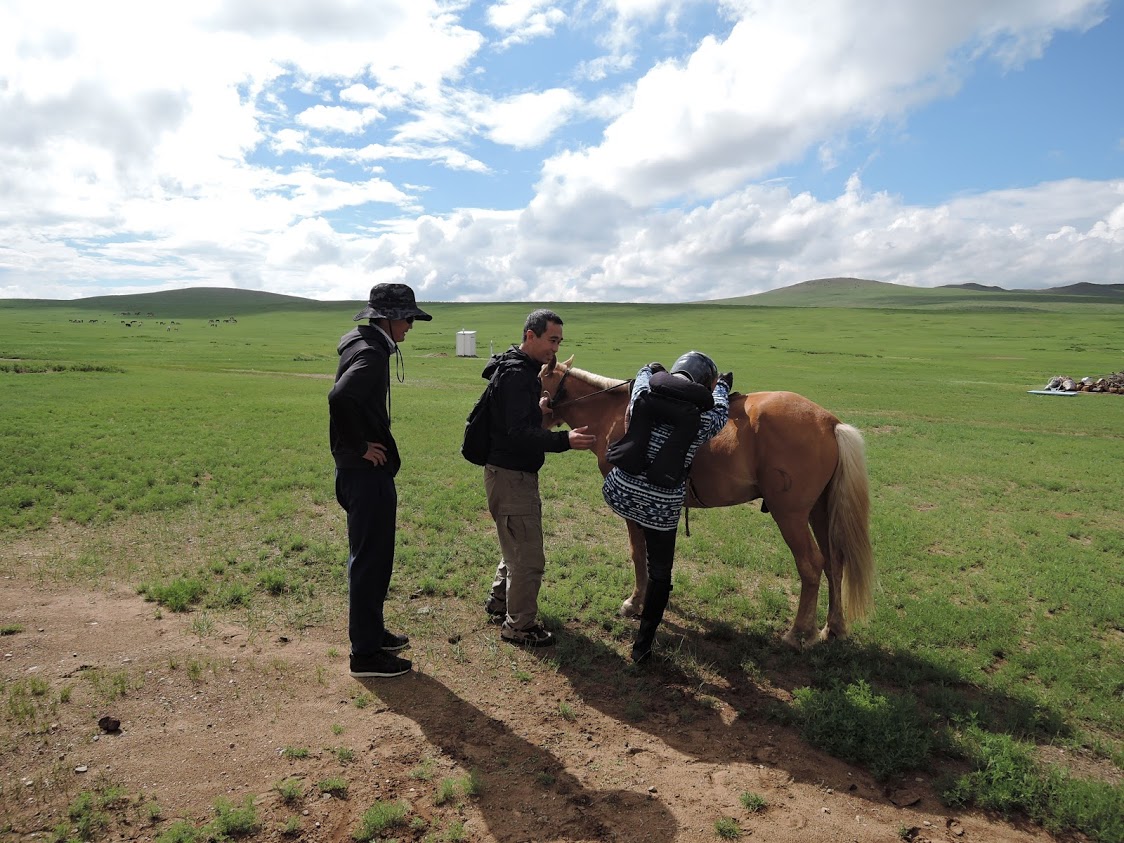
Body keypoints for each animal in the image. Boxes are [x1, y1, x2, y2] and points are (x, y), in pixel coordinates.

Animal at [539, 355, 872, 647]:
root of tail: (829, 421)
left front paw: (634, 602)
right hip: (819, 511)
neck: (614, 413)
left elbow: (637, 553)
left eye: (538, 379)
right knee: (834, 563)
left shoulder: (634, 509)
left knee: (811, 565)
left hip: (790, 515)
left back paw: (799, 633)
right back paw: (833, 628)